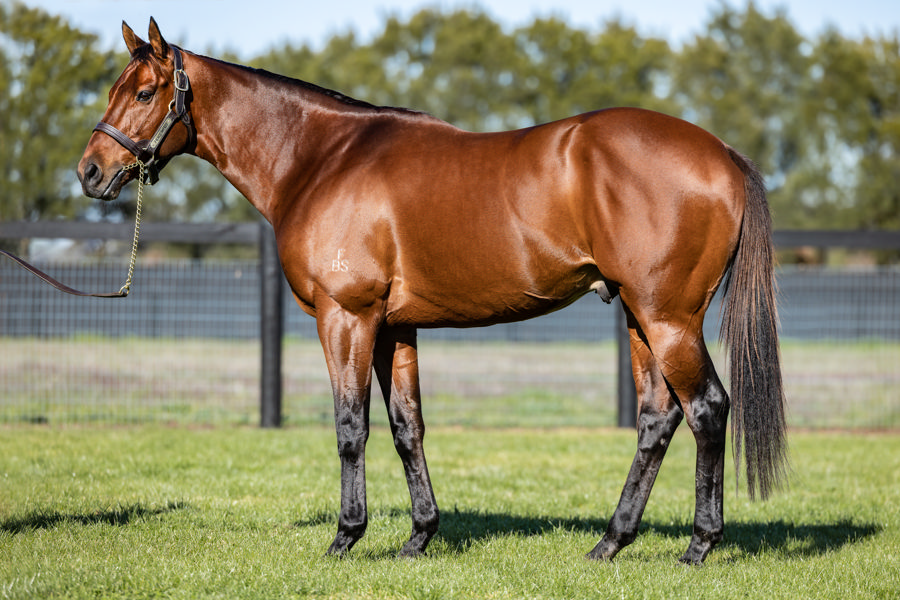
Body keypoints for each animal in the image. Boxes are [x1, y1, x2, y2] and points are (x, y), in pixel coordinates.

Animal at [78, 18, 787, 564]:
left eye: (145, 92)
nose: (89, 172)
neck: (322, 158)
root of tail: (721, 155)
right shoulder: (394, 327)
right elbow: (406, 427)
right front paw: (418, 538)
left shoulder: (346, 317)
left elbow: (350, 426)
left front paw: (346, 537)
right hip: (642, 318)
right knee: (658, 418)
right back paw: (610, 544)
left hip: (669, 318)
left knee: (707, 409)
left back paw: (698, 546)